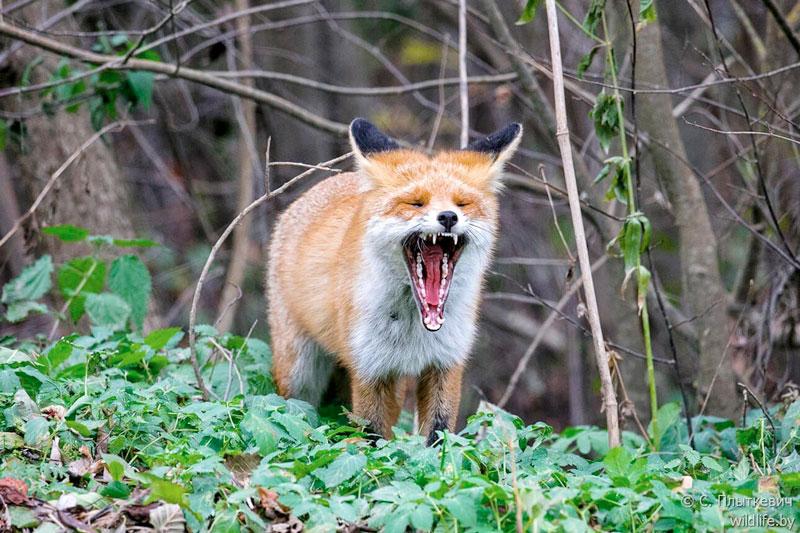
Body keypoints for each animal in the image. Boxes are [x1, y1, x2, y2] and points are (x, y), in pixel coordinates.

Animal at [266, 118, 520, 442]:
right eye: (416, 203)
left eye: (462, 204)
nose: (448, 217)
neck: (416, 326)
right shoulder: (369, 367)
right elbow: (373, 438)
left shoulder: (446, 363)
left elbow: (439, 437)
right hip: (299, 373)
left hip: (395, 389)